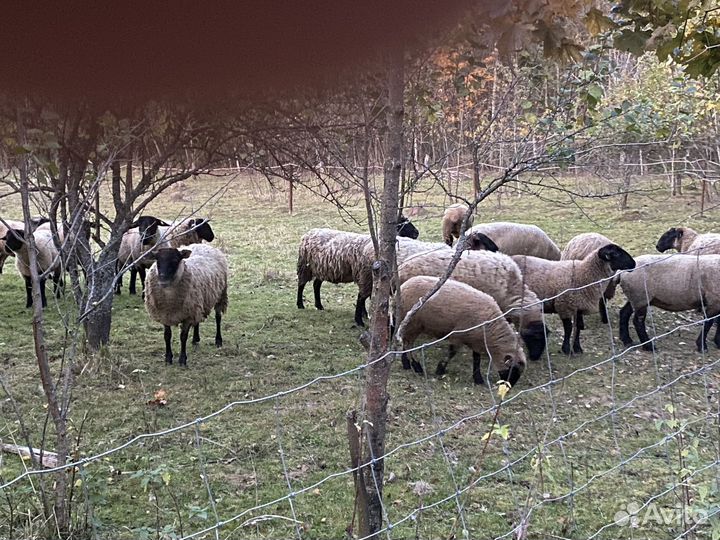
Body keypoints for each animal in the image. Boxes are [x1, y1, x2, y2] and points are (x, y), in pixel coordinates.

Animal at [396, 276, 524, 386]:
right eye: (513, 369)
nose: (509, 387)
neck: (490, 327)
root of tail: (404, 286)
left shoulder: (476, 340)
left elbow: (476, 359)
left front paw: (478, 379)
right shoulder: (458, 335)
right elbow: (451, 353)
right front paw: (440, 369)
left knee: (405, 342)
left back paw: (406, 364)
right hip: (413, 324)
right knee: (408, 344)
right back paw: (417, 367)